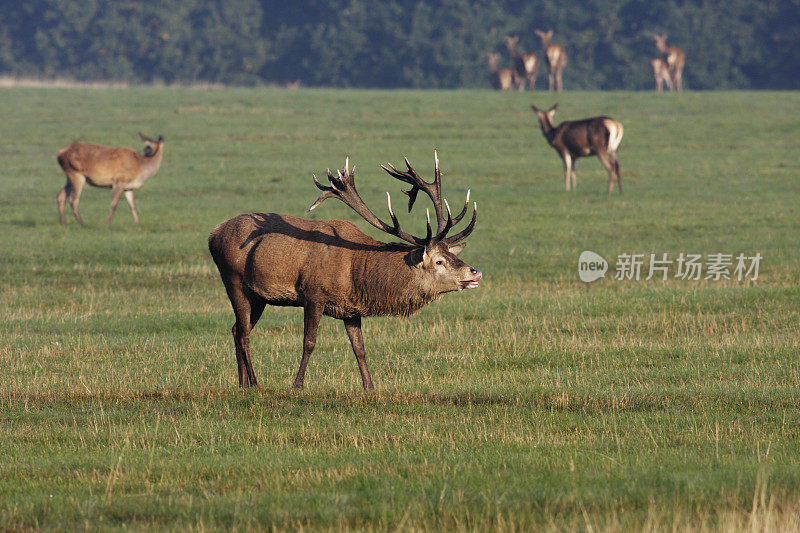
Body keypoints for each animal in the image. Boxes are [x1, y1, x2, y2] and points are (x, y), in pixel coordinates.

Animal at [208, 152, 482, 388]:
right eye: (438, 261)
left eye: (453, 255)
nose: (474, 272)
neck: (356, 273)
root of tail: (213, 234)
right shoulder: (313, 294)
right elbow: (309, 342)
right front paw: (297, 385)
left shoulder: (351, 308)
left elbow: (360, 349)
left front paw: (369, 387)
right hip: (233, 279)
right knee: (244, 333)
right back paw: (255, 383)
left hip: (258, 297)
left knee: (236, 329)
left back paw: (242, 384)